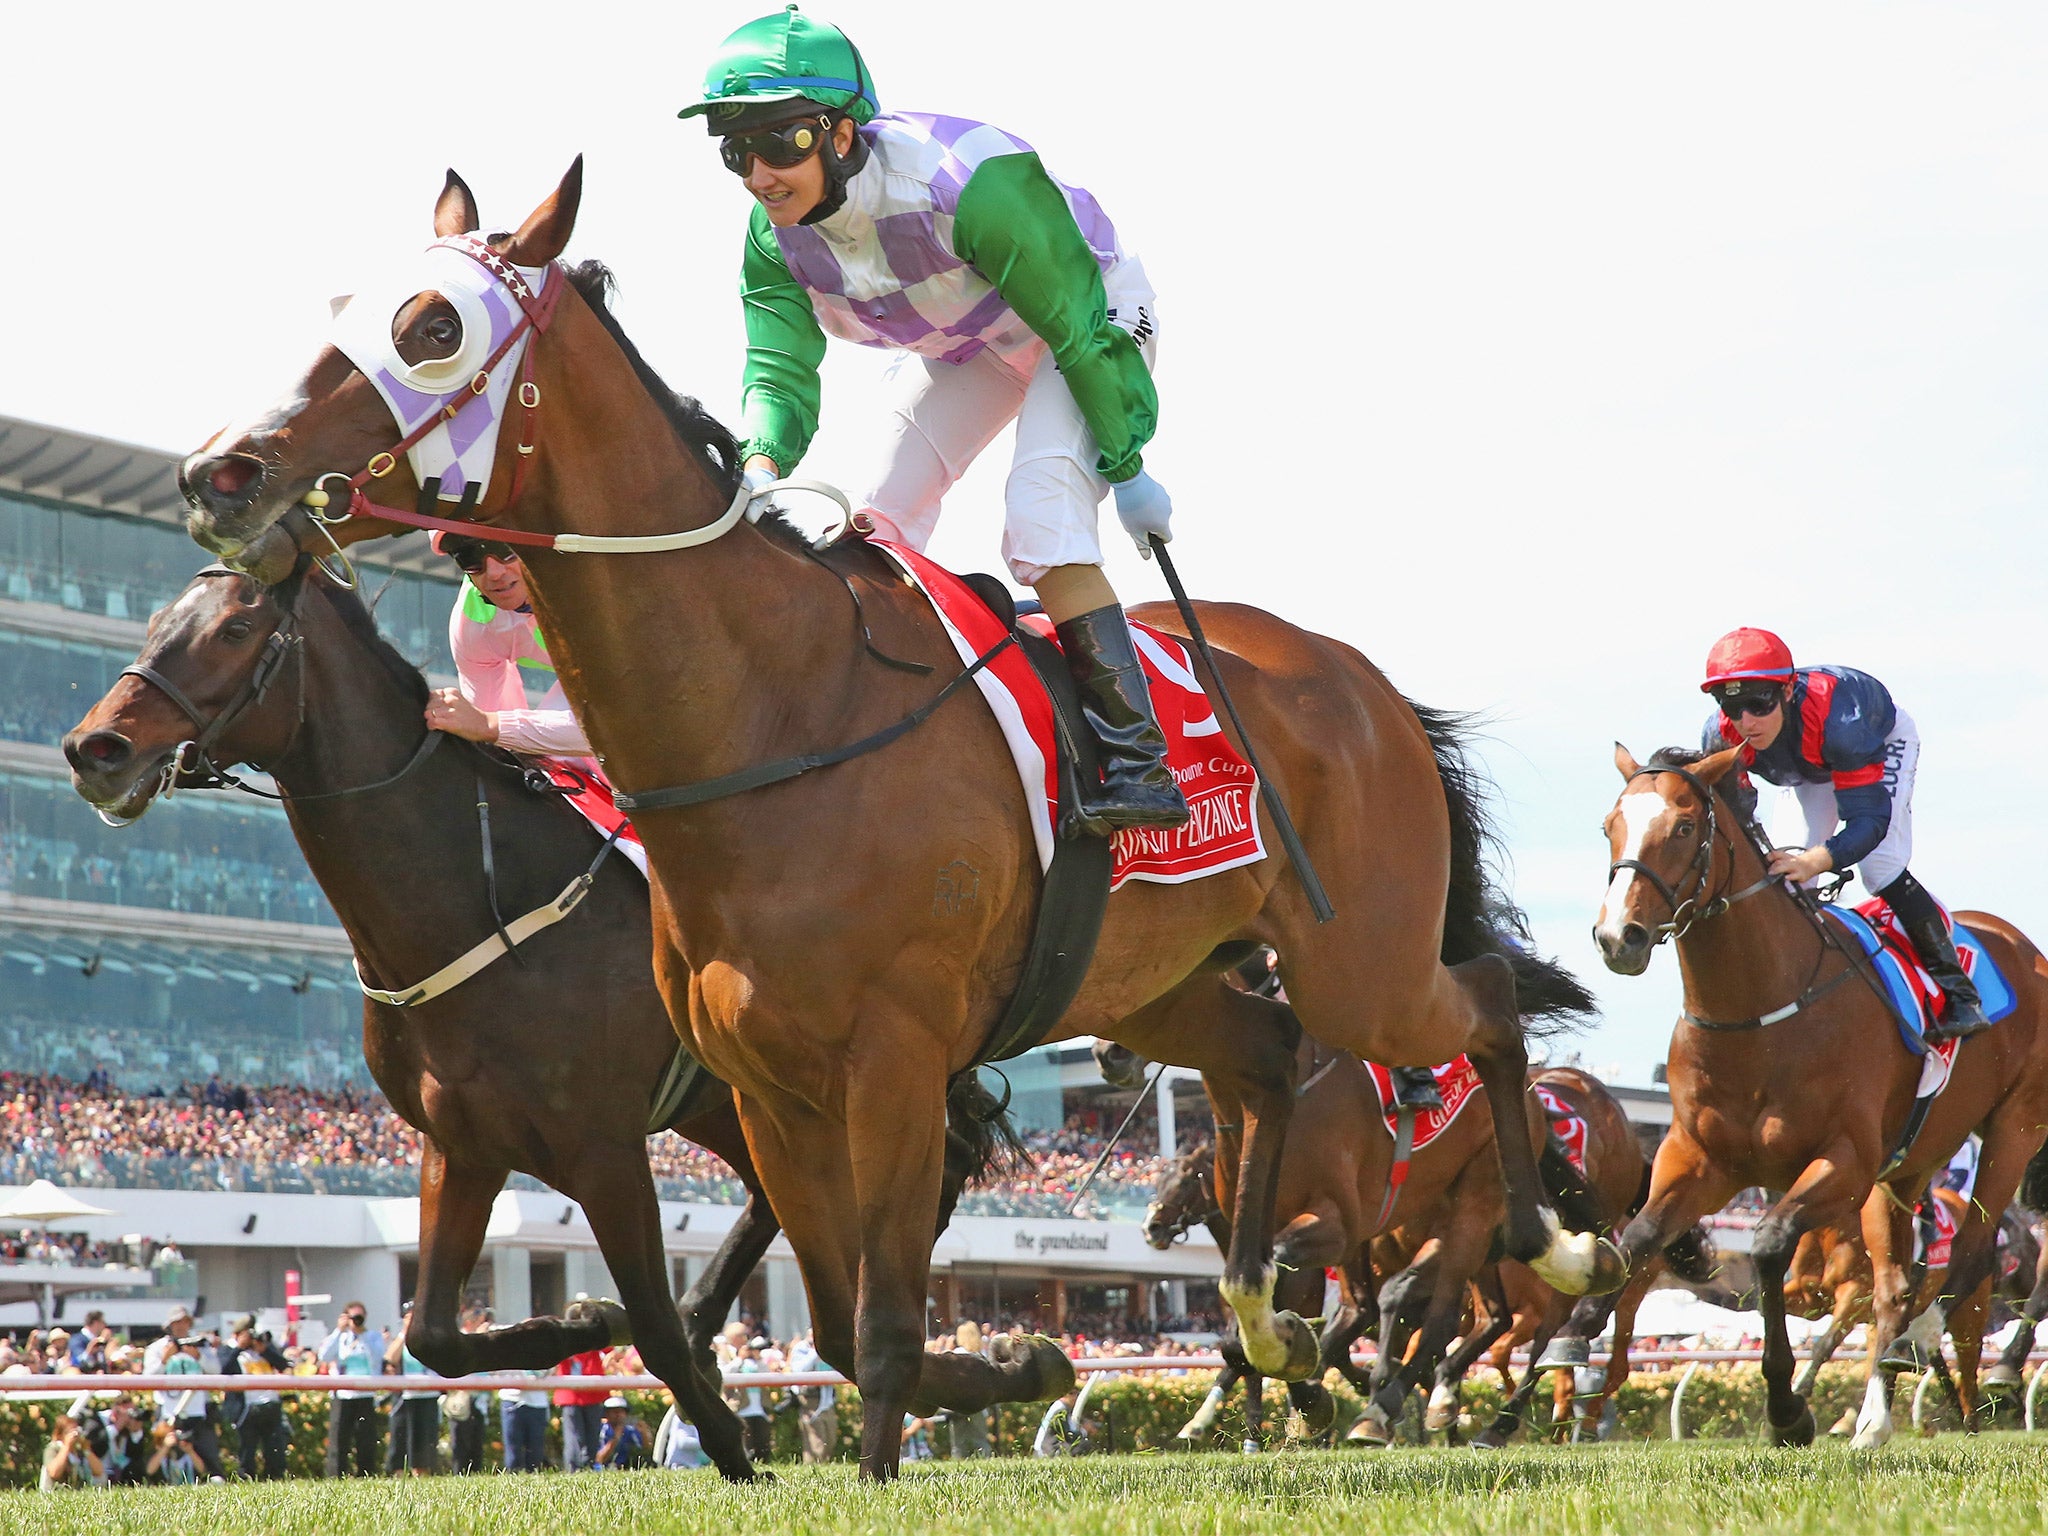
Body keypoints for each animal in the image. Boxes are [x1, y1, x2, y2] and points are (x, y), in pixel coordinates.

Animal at [61, 561, 1024, 1482]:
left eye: (235, 627)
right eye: (156, 621)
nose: (94, 747)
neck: (472, 900)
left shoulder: (601, 1147)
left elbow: (651, 1326)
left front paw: (727, 1440)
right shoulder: (461, 1144)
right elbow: (432, 1335)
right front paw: (587, 1323)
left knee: (915, 1187)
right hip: (737, 1101)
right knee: (777, 1204)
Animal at [176, 159, 1613, 1482]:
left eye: (431, 327)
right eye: (350, 305)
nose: (218, 469)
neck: (769, 711)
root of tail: (1363, 683)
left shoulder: (886, 1063)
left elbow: (874, 1318)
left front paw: (977, 1383)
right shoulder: (761, 1089)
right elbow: (833, 1316)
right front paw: (1004, 1368)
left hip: (1358, 957)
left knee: (1484, 1008)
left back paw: (1549, 1241)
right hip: (1152, 979)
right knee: (1261, 1059)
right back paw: (1269, 1318)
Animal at [1564, 753, 2048, 1449]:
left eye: (1684, 827)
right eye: (1610, 825)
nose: (1617, 936)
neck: (1759, 1012)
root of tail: (2019, 945)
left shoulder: (1842, 1162)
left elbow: (1768, 1244)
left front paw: (1788, 1407)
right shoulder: (1701, 1160)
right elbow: (1638, 1238)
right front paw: (1572, 1343)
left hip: (2013, 1129)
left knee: (1970, 1259)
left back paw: (1966, 1362)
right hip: (1904, 1171)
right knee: (1896, 1282)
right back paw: (1875, 1418)